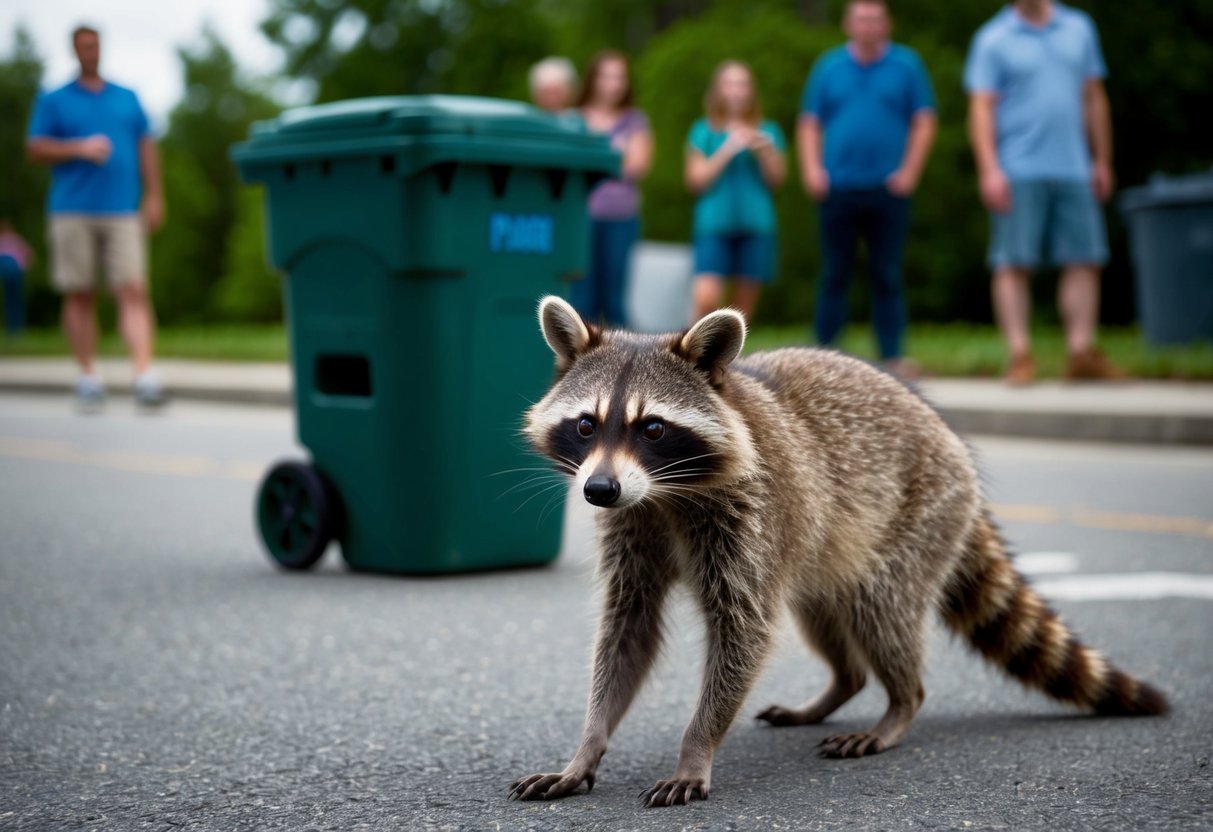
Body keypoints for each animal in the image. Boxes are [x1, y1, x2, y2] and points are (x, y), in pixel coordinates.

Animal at [508, 296, 1168, 808]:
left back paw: (901, 703)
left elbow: (743, 631)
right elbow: (629, 627)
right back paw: (841, 686)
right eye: (587, 425)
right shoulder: (635, 528)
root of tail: (951, 439)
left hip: (920, 517)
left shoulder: (751, 517)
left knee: (883, 614)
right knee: (824, 617)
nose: (598, 490)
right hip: (822, 553)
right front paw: (586, 747)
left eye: (652, 428)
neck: (664, 494)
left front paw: (696, 748)